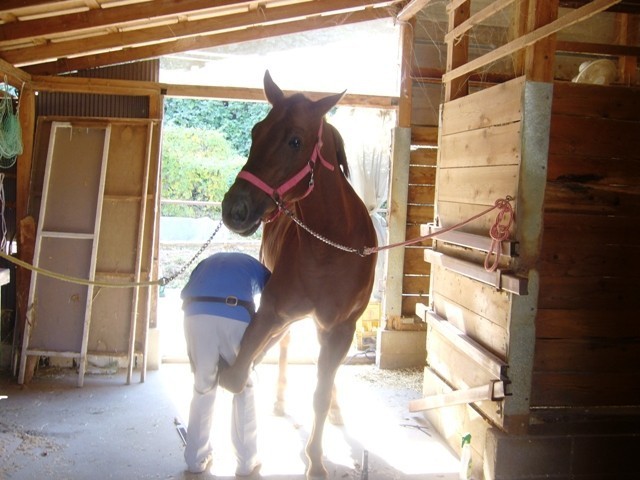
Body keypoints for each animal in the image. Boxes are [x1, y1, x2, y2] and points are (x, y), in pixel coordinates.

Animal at [220, 70, 377, 479]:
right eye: (256, 131)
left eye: (295, 141)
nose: (234, 209)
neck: (331, 246)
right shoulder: (272, 312)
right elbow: (239, 371)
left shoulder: (341, 329)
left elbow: (320, 393)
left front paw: (316, 462)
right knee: (285, 346)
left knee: (325, 375)